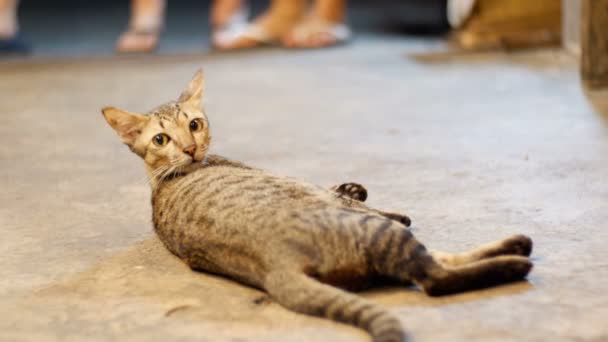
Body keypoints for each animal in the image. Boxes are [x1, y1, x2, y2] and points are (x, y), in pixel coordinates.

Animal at [103, 70, 532, 342]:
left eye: (194, 124)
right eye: (161, 139)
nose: (191, 149)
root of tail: (277, 267)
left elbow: (348, 190)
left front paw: (355, 185)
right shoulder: (325, 194)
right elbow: (369, 204)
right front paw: (374, 198)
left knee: (436, 260)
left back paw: (514, 247)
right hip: (378, 234)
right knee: (433, 275)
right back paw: (515, 260)